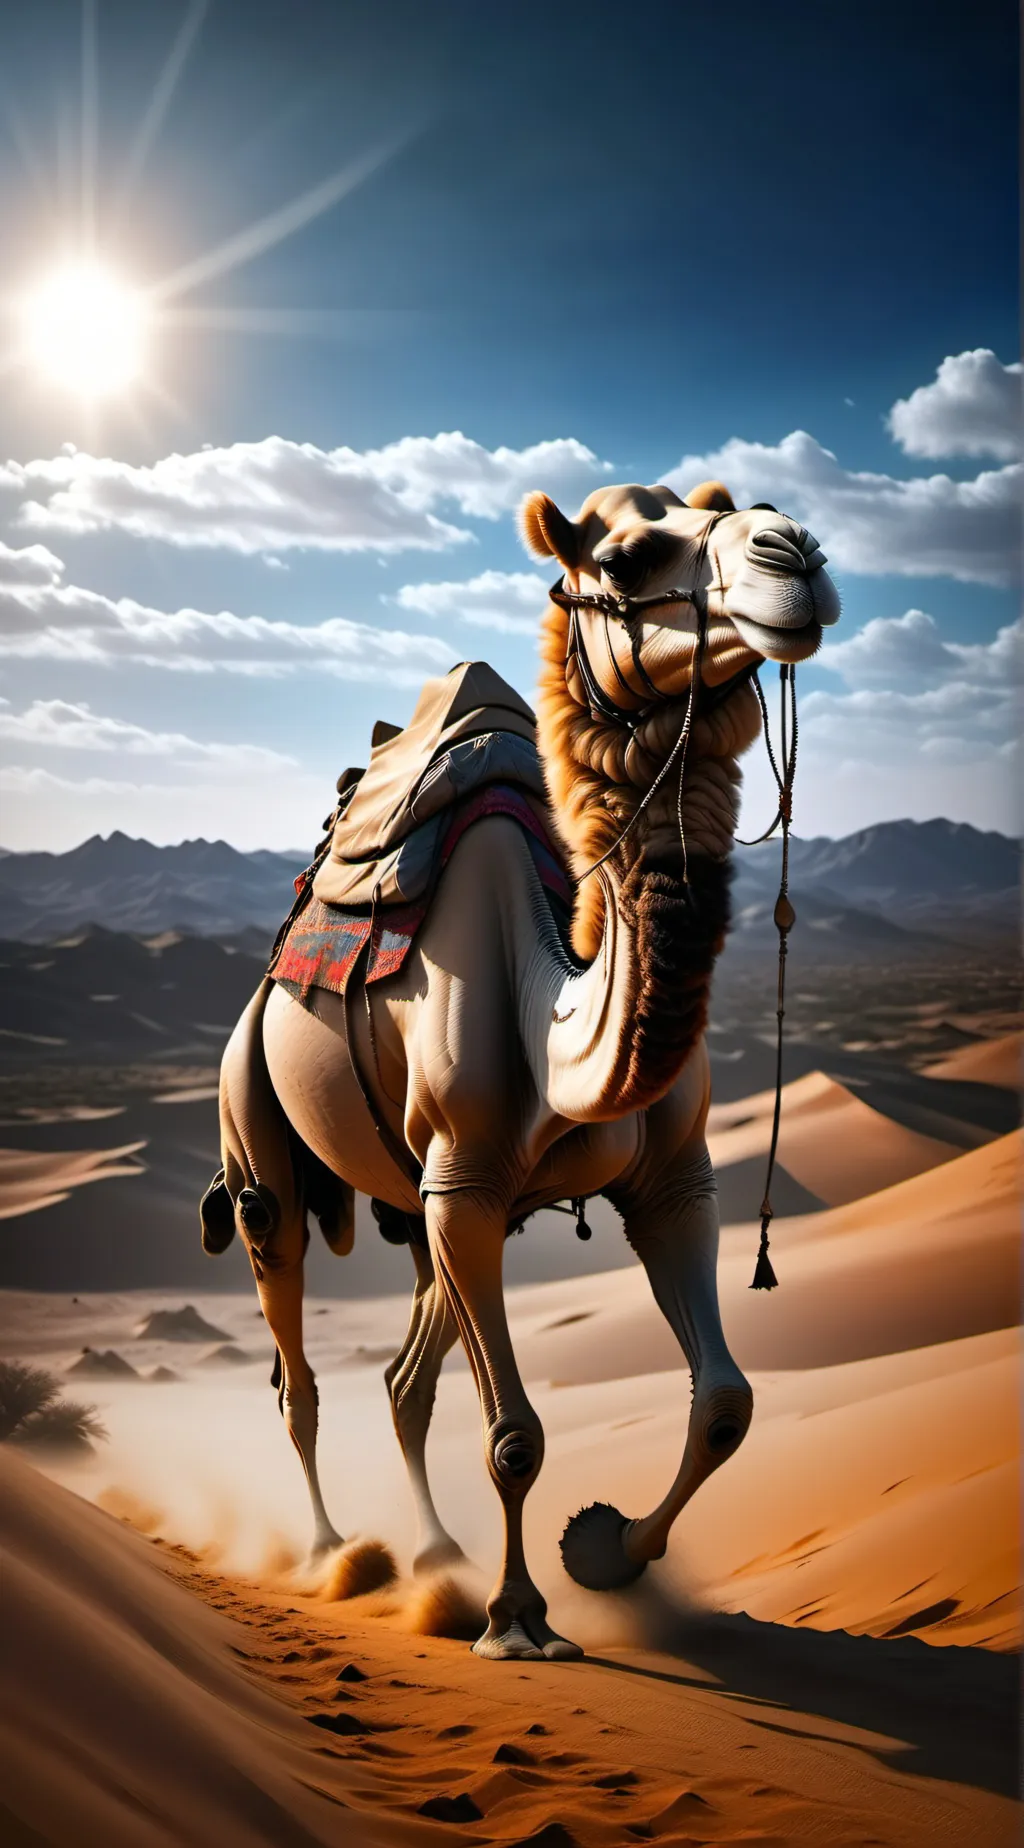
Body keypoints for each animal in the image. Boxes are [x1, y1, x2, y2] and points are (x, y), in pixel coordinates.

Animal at [207, 477, 839, 1661]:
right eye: (630, 558)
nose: (798, 555)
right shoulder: (465, 1182)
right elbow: (514, 1436)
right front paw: (518, 1624)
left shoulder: (668, 1180)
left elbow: (725, 1403)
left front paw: (603, 1551)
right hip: (257, 1127)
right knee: (295, 1365)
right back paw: (337, 1556)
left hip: (420, 1209)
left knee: (404, 1382)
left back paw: (435, 1558)